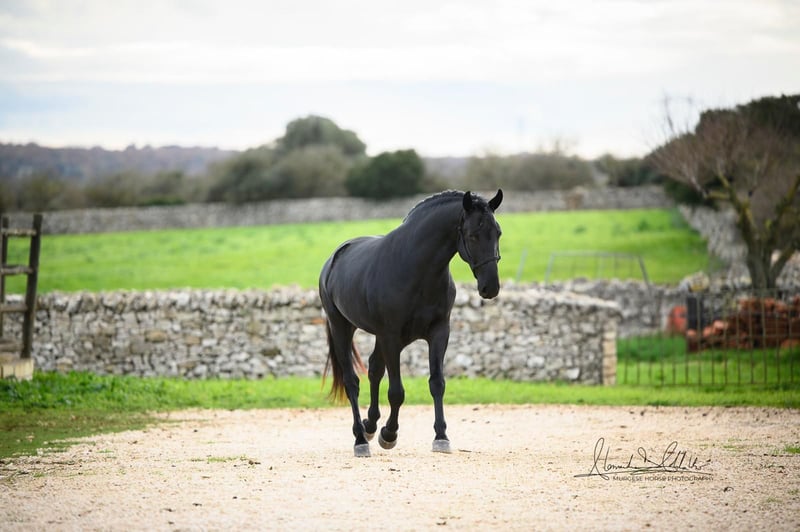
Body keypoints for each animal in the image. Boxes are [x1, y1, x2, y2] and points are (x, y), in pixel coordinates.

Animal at [319, 189, 503, 457]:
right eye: (473, 235)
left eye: (497, 232)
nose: (490, 287)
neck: (415, 269)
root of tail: (332, 261)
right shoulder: (391, 336)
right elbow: (396, 392)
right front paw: (389, 434)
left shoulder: (438, 333)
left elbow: (437, 383)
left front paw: (441, 437)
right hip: (342, 328)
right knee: (352, 382)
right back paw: (361, 439)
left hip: (383, 337)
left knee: (374, 369)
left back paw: (370, 425)